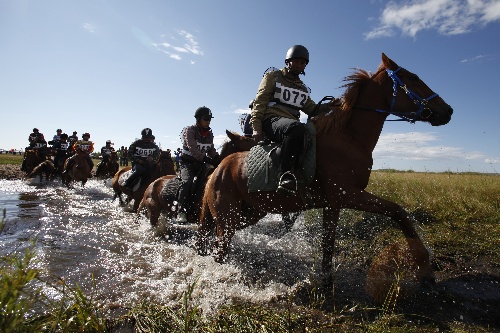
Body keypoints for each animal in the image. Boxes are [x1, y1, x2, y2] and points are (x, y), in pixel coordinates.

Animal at [198, 52, 454, 288]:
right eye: (413, 77)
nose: (448, 110)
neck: (349, 138)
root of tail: (216, 171)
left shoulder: (334, 203)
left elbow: (328, 243)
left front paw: (326, 280)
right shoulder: (349, 194)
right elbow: (398, 212)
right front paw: (424, 269)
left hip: (247, 214)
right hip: (228, 220)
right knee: (219, 251)